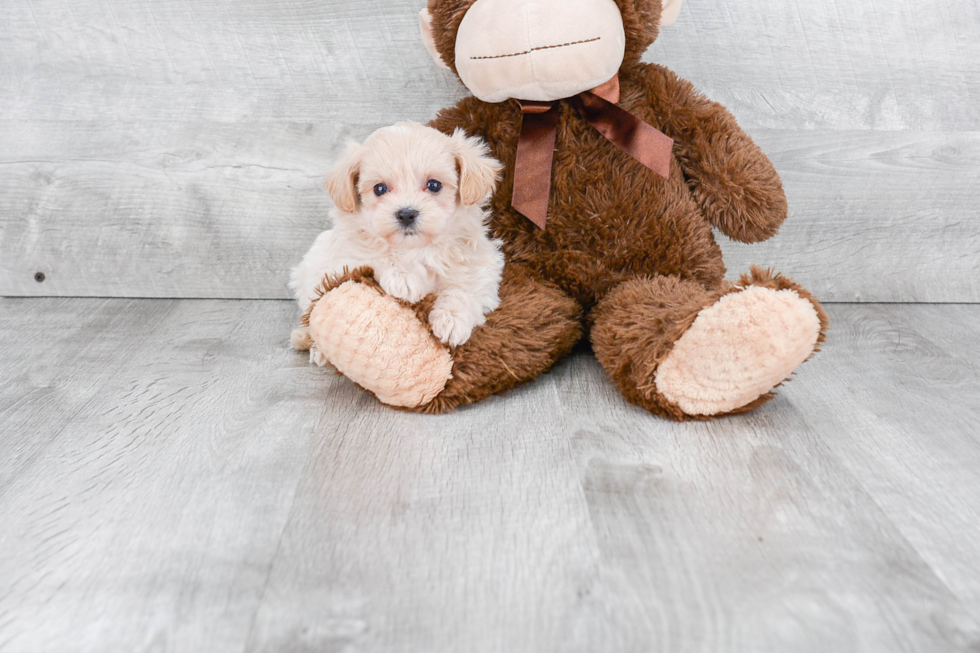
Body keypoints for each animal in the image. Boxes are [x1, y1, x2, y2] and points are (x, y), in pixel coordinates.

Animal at [290, 121, 506, 362]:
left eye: (434, 185)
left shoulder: (483, 266)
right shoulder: (344, 259)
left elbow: (465, 289)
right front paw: (404, 277)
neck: (417, 249)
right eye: (380, 189)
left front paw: (452, 319)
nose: (406, 214)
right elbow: (377, 254)